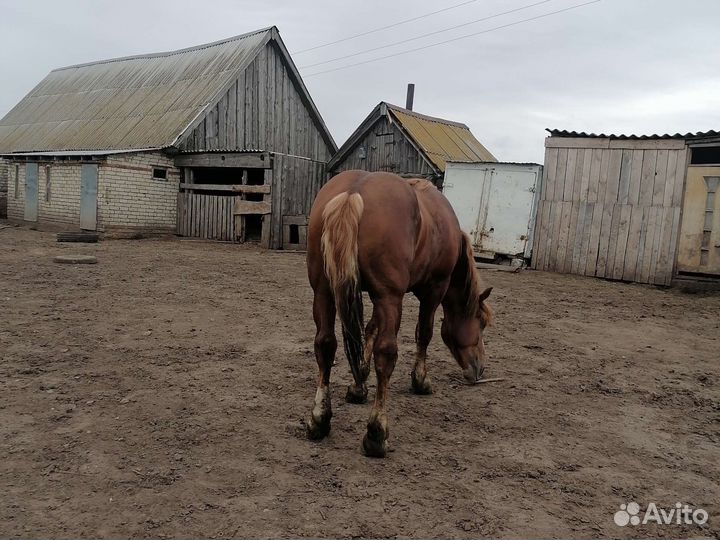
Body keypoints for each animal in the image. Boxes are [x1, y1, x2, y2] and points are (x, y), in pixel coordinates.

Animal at [305, 170, 493, 457]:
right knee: (386, 354)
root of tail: (352, 193)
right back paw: (376, 433)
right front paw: (420, 381)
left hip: (324, 291)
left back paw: (319, 420)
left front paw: (359, 384)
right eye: (481, 323)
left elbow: (369, 330)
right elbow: (424, 333)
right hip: (388, 297)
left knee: (325, 345)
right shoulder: (432, 290)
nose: (479, 368)